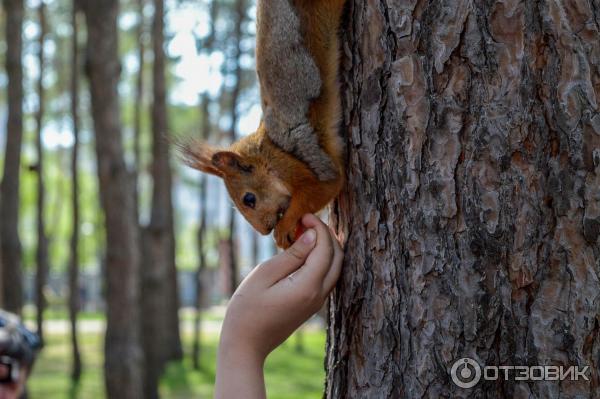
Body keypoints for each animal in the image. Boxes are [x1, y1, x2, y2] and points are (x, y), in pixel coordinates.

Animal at [180, 0, 344, 248]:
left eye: (249, 199)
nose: (265, 231)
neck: (266, 151)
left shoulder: (296, 161)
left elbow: (324, 186)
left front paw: (284, 228)